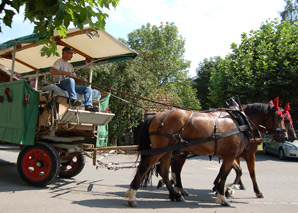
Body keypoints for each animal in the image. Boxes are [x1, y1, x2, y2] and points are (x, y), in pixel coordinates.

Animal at [125, 102, 286, 207]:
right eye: (281, 117)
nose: (285, 136)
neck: (239, 122)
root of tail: (155, 116)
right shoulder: (231, 155)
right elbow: (229, 173)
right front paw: (224, 196)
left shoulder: (229, 156)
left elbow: (228, 172)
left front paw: (224, 190)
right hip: (161, 150)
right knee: (145, 167)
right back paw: (132, 196)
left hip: (168, 151)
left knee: (164, 170)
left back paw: (176, 195)